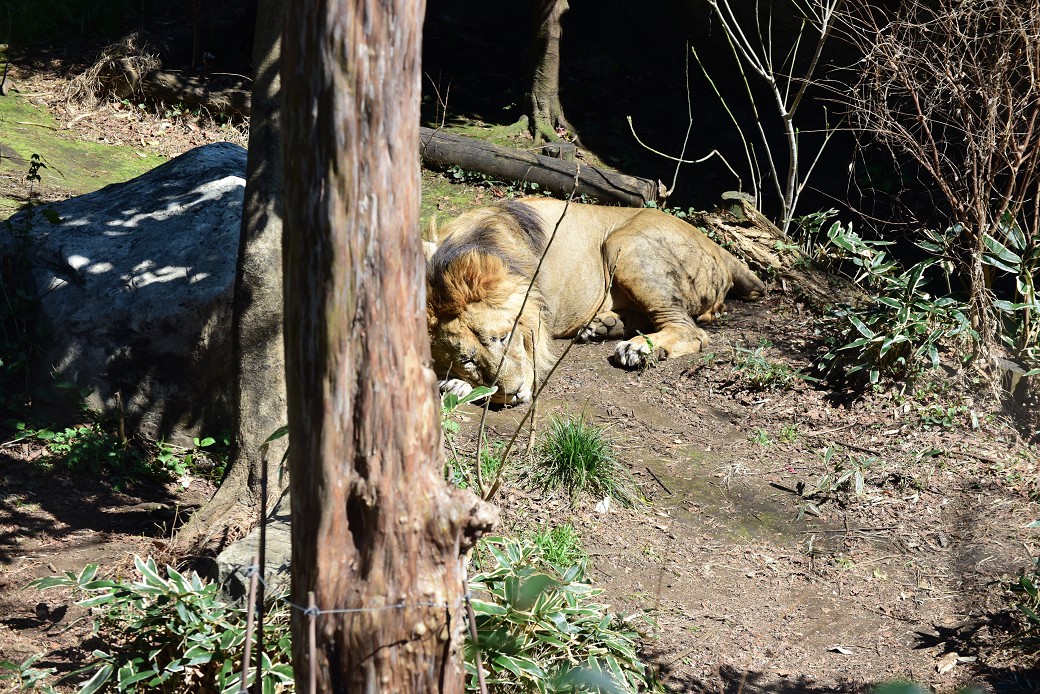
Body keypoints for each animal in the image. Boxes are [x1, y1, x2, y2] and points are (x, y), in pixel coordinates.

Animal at [422, 197, 765, 403]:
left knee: (691, 330)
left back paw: (638, 349)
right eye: (466, 360)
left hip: (623, 244)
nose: (515, 393)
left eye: (504, 337)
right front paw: (455, 385)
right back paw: (603, 327)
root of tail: (717, 245)